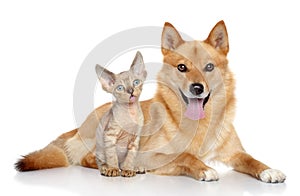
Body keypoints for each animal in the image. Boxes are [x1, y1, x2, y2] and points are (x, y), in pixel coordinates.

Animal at [14, 20, 286, 183]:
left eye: (209, 67)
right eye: (182, 67)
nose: (197, 88)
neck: (199, 124)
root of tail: (80, 125)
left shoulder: (235, 152)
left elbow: (251, 159)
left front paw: (268, 169)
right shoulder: (152, 154)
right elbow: (183, 156)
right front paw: (203, 168)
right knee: (87, 158)